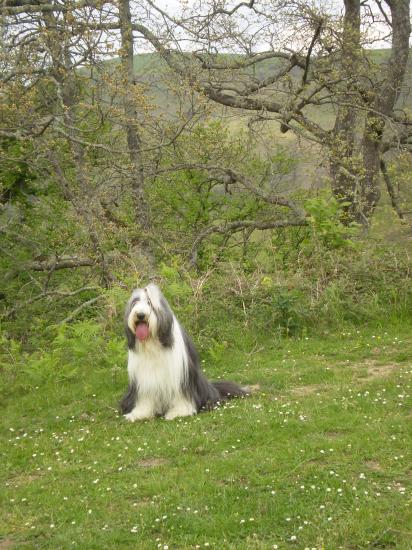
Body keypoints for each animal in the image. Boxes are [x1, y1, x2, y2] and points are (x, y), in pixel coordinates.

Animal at [119, 284, 248, 422]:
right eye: (135, 302)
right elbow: (144, 397)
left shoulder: (180, 374)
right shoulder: (143, 378)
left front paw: (179, 412)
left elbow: (181, 395)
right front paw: (139, 413)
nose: (140, 315)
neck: (153, 342)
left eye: (150, 303)